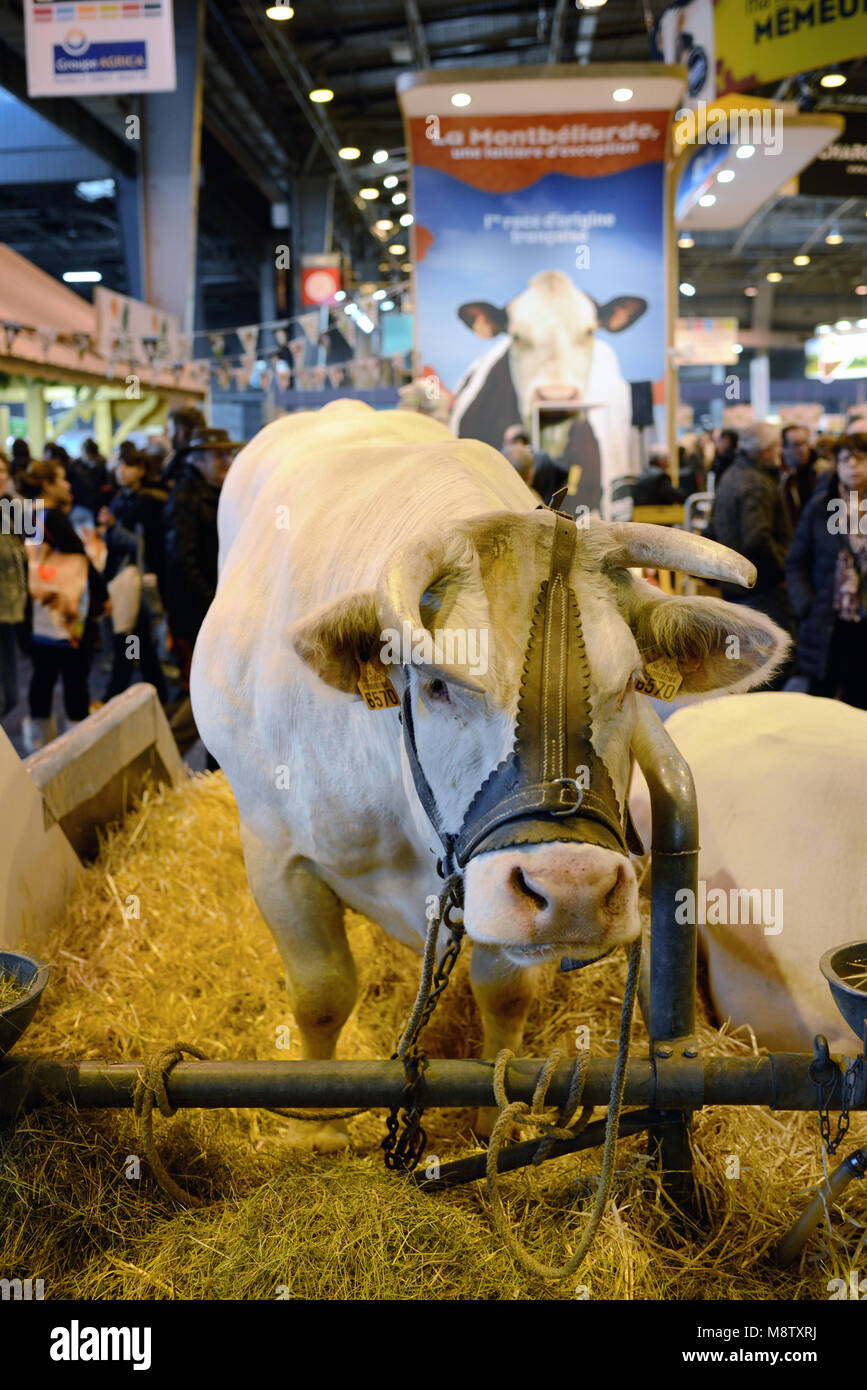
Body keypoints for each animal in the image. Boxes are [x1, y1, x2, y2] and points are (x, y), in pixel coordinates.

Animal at [193, 397, 789, 1145]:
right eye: (438, 685)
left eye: (630, 684)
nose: (572, 888)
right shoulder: (277, 855)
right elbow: (322, 993)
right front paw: (318, 1127)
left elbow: (504, 993)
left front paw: (489, 1116)